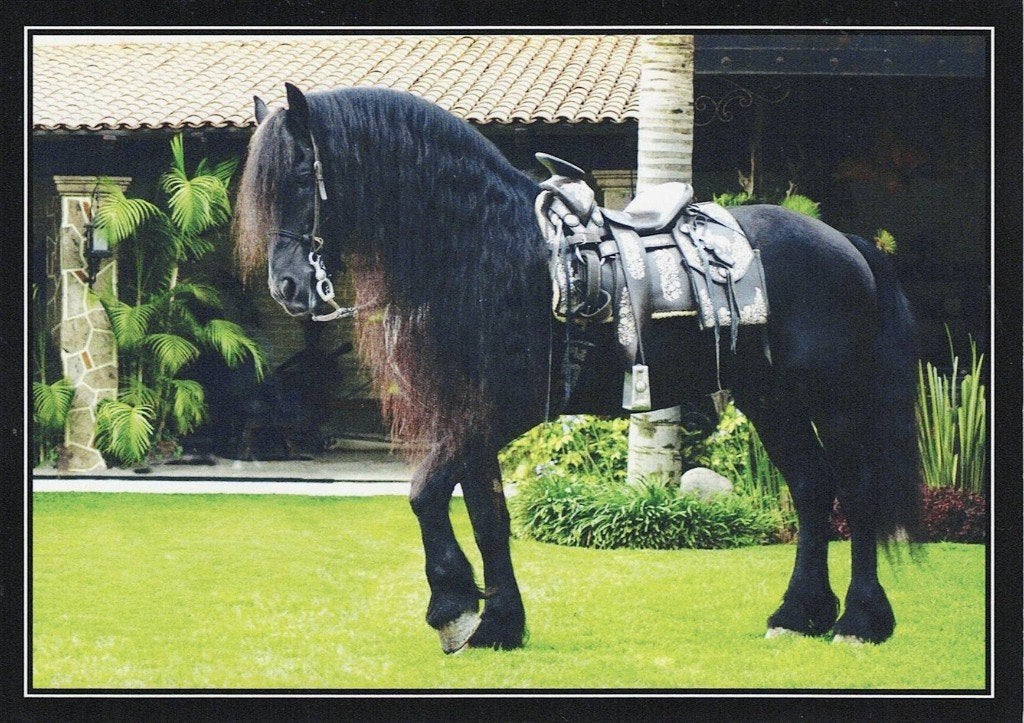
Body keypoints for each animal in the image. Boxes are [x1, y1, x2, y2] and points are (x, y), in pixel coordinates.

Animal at [233, 82, 922, 653]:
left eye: (302, 173)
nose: (288, 287)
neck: (487, 251)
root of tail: (844, 243)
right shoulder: (469, 417)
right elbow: (487, 517)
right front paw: (498, 626)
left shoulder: (500, 412)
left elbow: (425, 492)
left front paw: (454, 609)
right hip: (771, 398)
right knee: (811, 487)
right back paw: (800, 614)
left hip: (834, 399)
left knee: (853, 491)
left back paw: (860, 621)